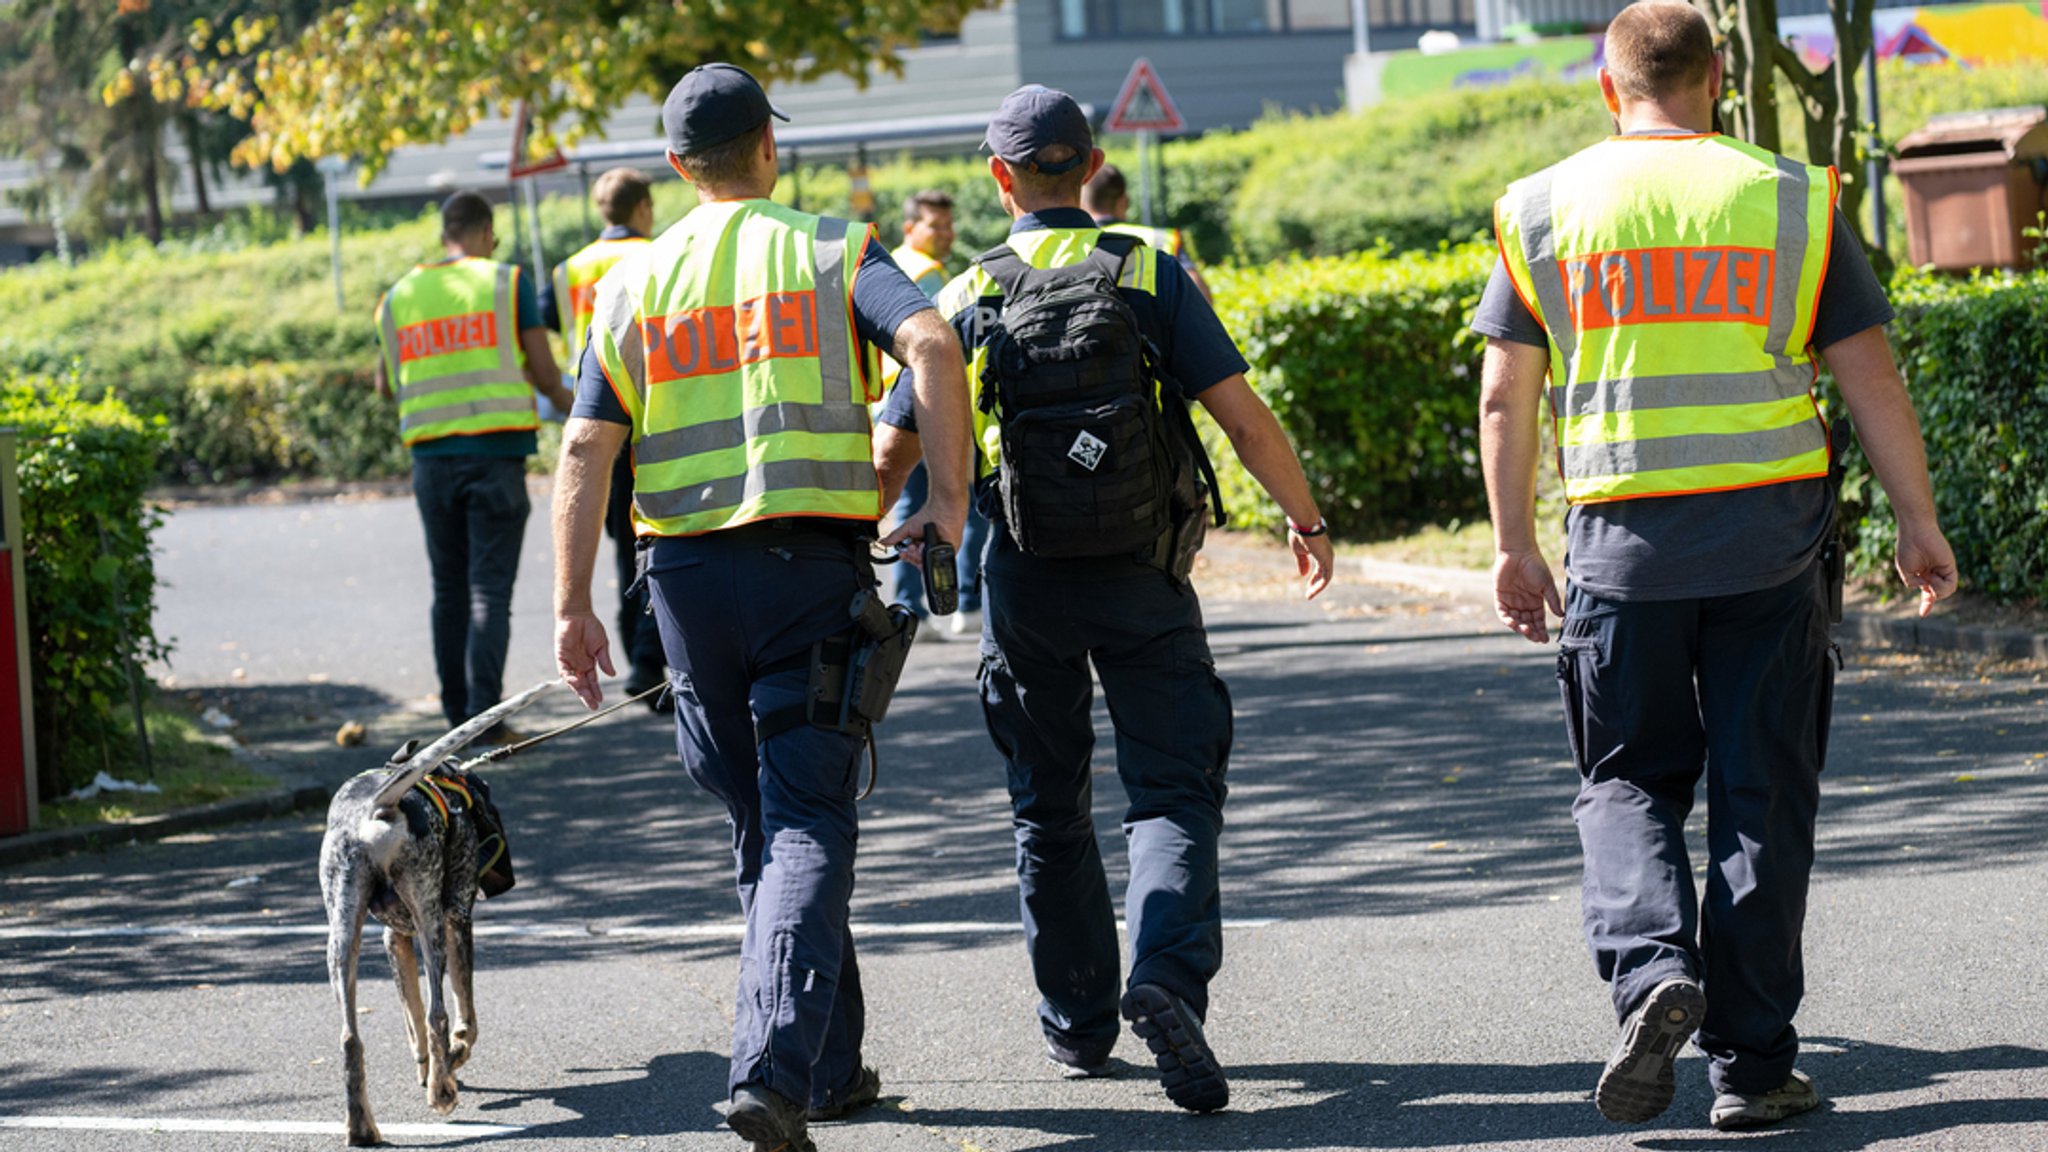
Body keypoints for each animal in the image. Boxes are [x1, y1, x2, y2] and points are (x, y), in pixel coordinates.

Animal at [315, 676, 552, 1139]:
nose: (506, 878)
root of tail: (378, 808)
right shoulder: (457, 921)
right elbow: (464, 1016)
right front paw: (455, 1056)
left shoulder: (394, 940)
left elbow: (412, 1022)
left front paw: (427, 1069)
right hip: (432, 926)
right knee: (438, 1012)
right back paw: (443, 1093)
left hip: (343, 939)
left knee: (351, 1039)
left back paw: (363, 1128)